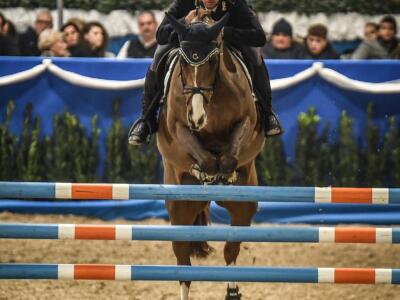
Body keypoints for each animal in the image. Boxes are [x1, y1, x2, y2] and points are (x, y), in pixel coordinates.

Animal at [156, 9, 266, 300]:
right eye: (184, 63)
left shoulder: (247, 121)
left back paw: (233, 291)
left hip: (243, 207)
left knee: (231, 248)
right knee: (183, 262)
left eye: (213, 59)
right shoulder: (178, 126)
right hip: (180, 210)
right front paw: (206, 171)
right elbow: (202, 156)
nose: (197, 118)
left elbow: (229, 155)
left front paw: (223, 172)